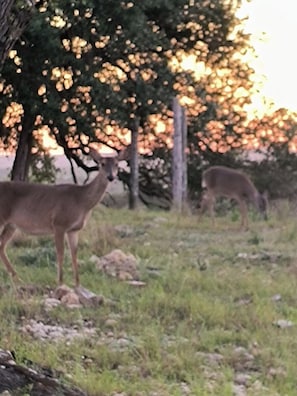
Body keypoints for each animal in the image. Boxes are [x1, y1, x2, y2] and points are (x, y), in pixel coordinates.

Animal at [0, 148, 126, 288]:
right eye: (102, 164)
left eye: (117, 164)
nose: (111, 177)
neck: (81, 202)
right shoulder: (59, 223)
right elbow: (60, 252)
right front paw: (60, 282)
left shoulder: (73, 229)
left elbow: (74, 253)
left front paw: (77, 283)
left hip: (11, 225)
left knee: (1, 245)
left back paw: (17, 278)